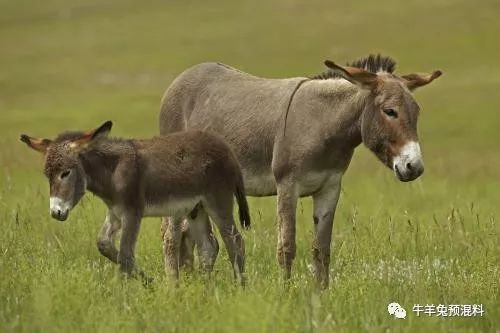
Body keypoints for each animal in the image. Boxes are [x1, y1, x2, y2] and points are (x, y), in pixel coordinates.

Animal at [22, 120, 249, 284]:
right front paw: (150, 281)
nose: (55, 212)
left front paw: (122, 300)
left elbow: (125, 256)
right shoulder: (115, 213)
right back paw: (204, 292)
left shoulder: (132, 213)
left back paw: (239, 288)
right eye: (47, 176)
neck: (113, 172)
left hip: (218, 202)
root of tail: (227, 150)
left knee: (235, 241)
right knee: (208, 247)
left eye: (66, 173)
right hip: (196, 208)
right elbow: (103, 244)